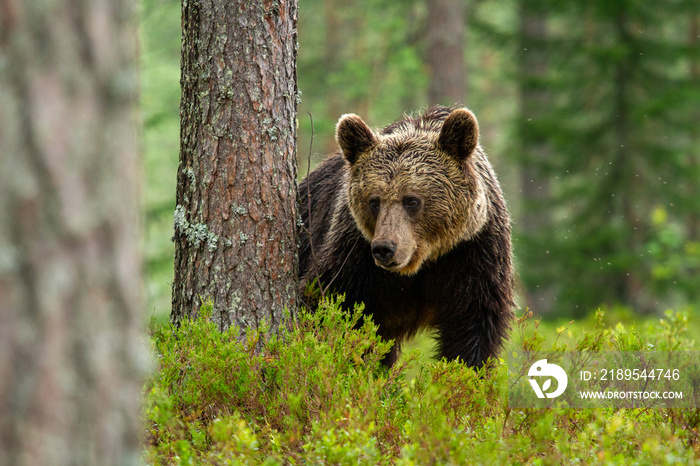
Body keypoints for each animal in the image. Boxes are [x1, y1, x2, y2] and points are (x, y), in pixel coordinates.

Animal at [296, 105, 516, 368]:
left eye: (412, 200)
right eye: (374, 201)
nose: (384, 248)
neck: (423, 261)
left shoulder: (473, 253)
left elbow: (473, 328)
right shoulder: (354, 256)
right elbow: (330, 306)